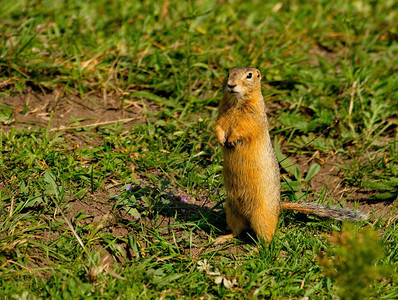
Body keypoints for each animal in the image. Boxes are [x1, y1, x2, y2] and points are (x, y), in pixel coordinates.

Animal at [216, 66, 366, 244]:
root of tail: (279, 206)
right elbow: (218, 127)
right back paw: (222, 238)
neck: (236, 102)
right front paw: (221, 140)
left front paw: (231, 140)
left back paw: (257, 247)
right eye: (228, 73)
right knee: (237, 231)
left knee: (268, 238)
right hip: (231, 211)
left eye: (249, 75)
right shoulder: (221, 114)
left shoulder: (254, 118)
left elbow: (244, 130)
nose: (231, 85)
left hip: (261, 217)